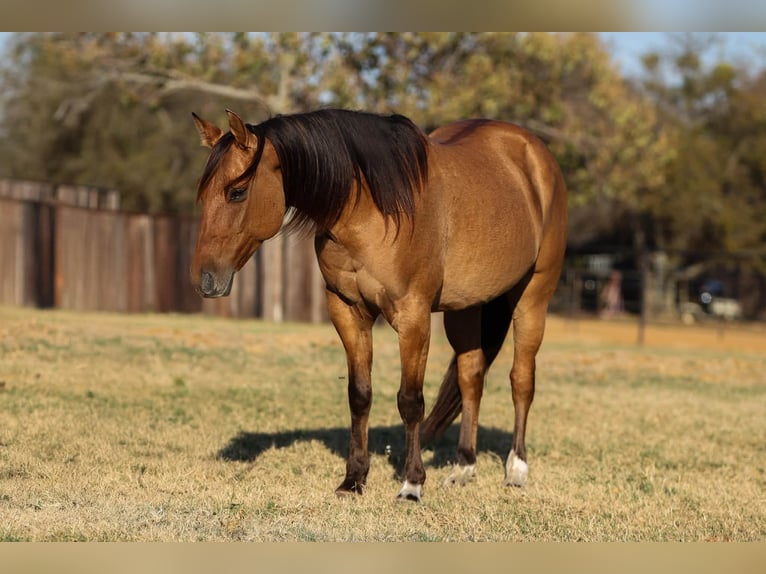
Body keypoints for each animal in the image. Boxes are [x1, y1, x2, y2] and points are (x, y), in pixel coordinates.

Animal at [190, 108, 567, 503]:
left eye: (236, 192)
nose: (205, 280)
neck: (370, 209)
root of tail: (534, 154)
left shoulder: (413, 317)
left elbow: (410, 400)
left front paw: (411, 484)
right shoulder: (348, 312)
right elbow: (359, 395)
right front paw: (353, 479)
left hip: (532, 299)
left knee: (521, 380)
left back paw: (516, 471)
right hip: (464, 310)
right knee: (470, 379)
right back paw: (463, 468)